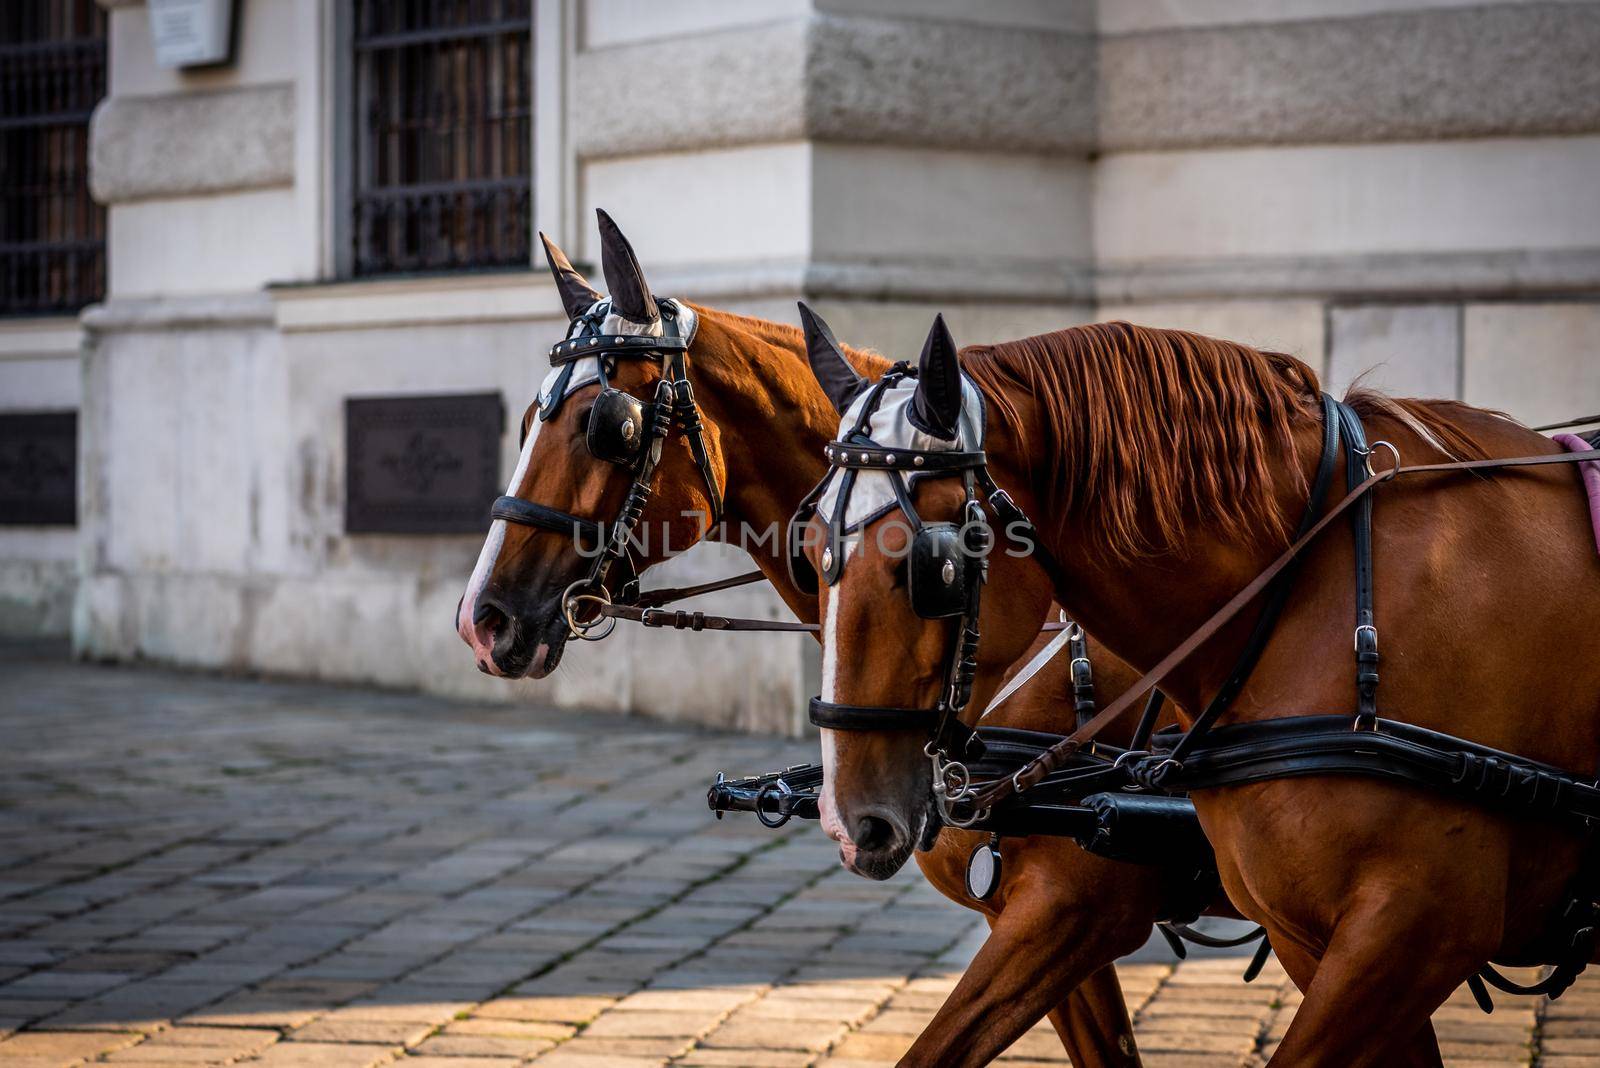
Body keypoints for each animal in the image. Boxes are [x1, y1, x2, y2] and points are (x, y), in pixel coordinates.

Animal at [812, 313, 1600, 1061]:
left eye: (930, 566)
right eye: (810, 547)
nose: (850, 822)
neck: (1313, 585)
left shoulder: (1416, 929)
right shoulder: (1314, 938)